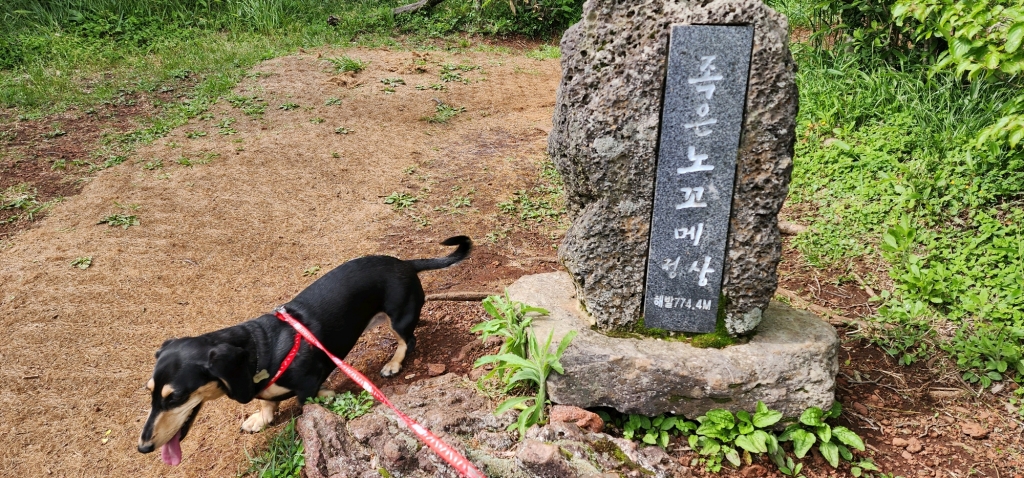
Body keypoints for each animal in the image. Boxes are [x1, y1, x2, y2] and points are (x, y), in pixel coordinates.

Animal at [137, 236, 471, 466]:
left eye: (175, 397)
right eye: (150, 391)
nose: (143, 447)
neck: (261, 349)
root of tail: (405, 263)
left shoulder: (309, 381)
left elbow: (306, 402)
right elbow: (266, 403)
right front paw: (260, 418)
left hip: (398, 318)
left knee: (407, 340)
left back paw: (394, 363)